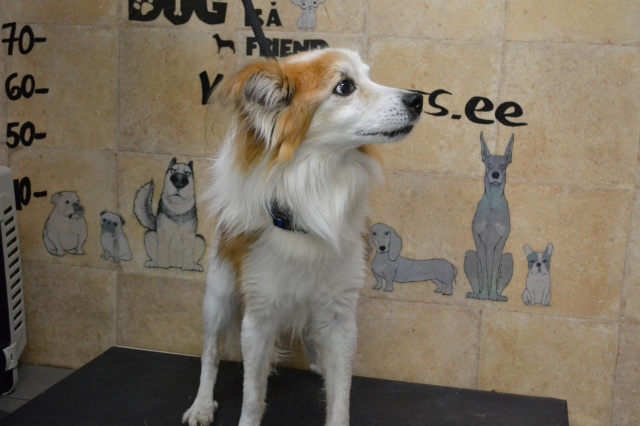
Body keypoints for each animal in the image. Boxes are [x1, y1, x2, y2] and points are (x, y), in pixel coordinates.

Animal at [182, 48, 423, 426]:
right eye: (344, 87)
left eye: (369, 77)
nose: (417, 99)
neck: (314, 195)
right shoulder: (258, 317)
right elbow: (252, 397)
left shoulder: (339, 317)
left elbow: (340, 397)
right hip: (218, 296)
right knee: (210, 353)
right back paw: (202, 405)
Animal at [464, 132, 514, 301]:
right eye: (489, 164)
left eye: (503, 165)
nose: (495, 175)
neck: (493, 203)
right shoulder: (478, 240)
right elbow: (485, 271)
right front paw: (484, 294)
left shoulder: (501, 242)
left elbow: (492, 271)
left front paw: (491, 295)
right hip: (469, 255)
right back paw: (476, 294)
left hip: (508, 258)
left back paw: (498, 297)